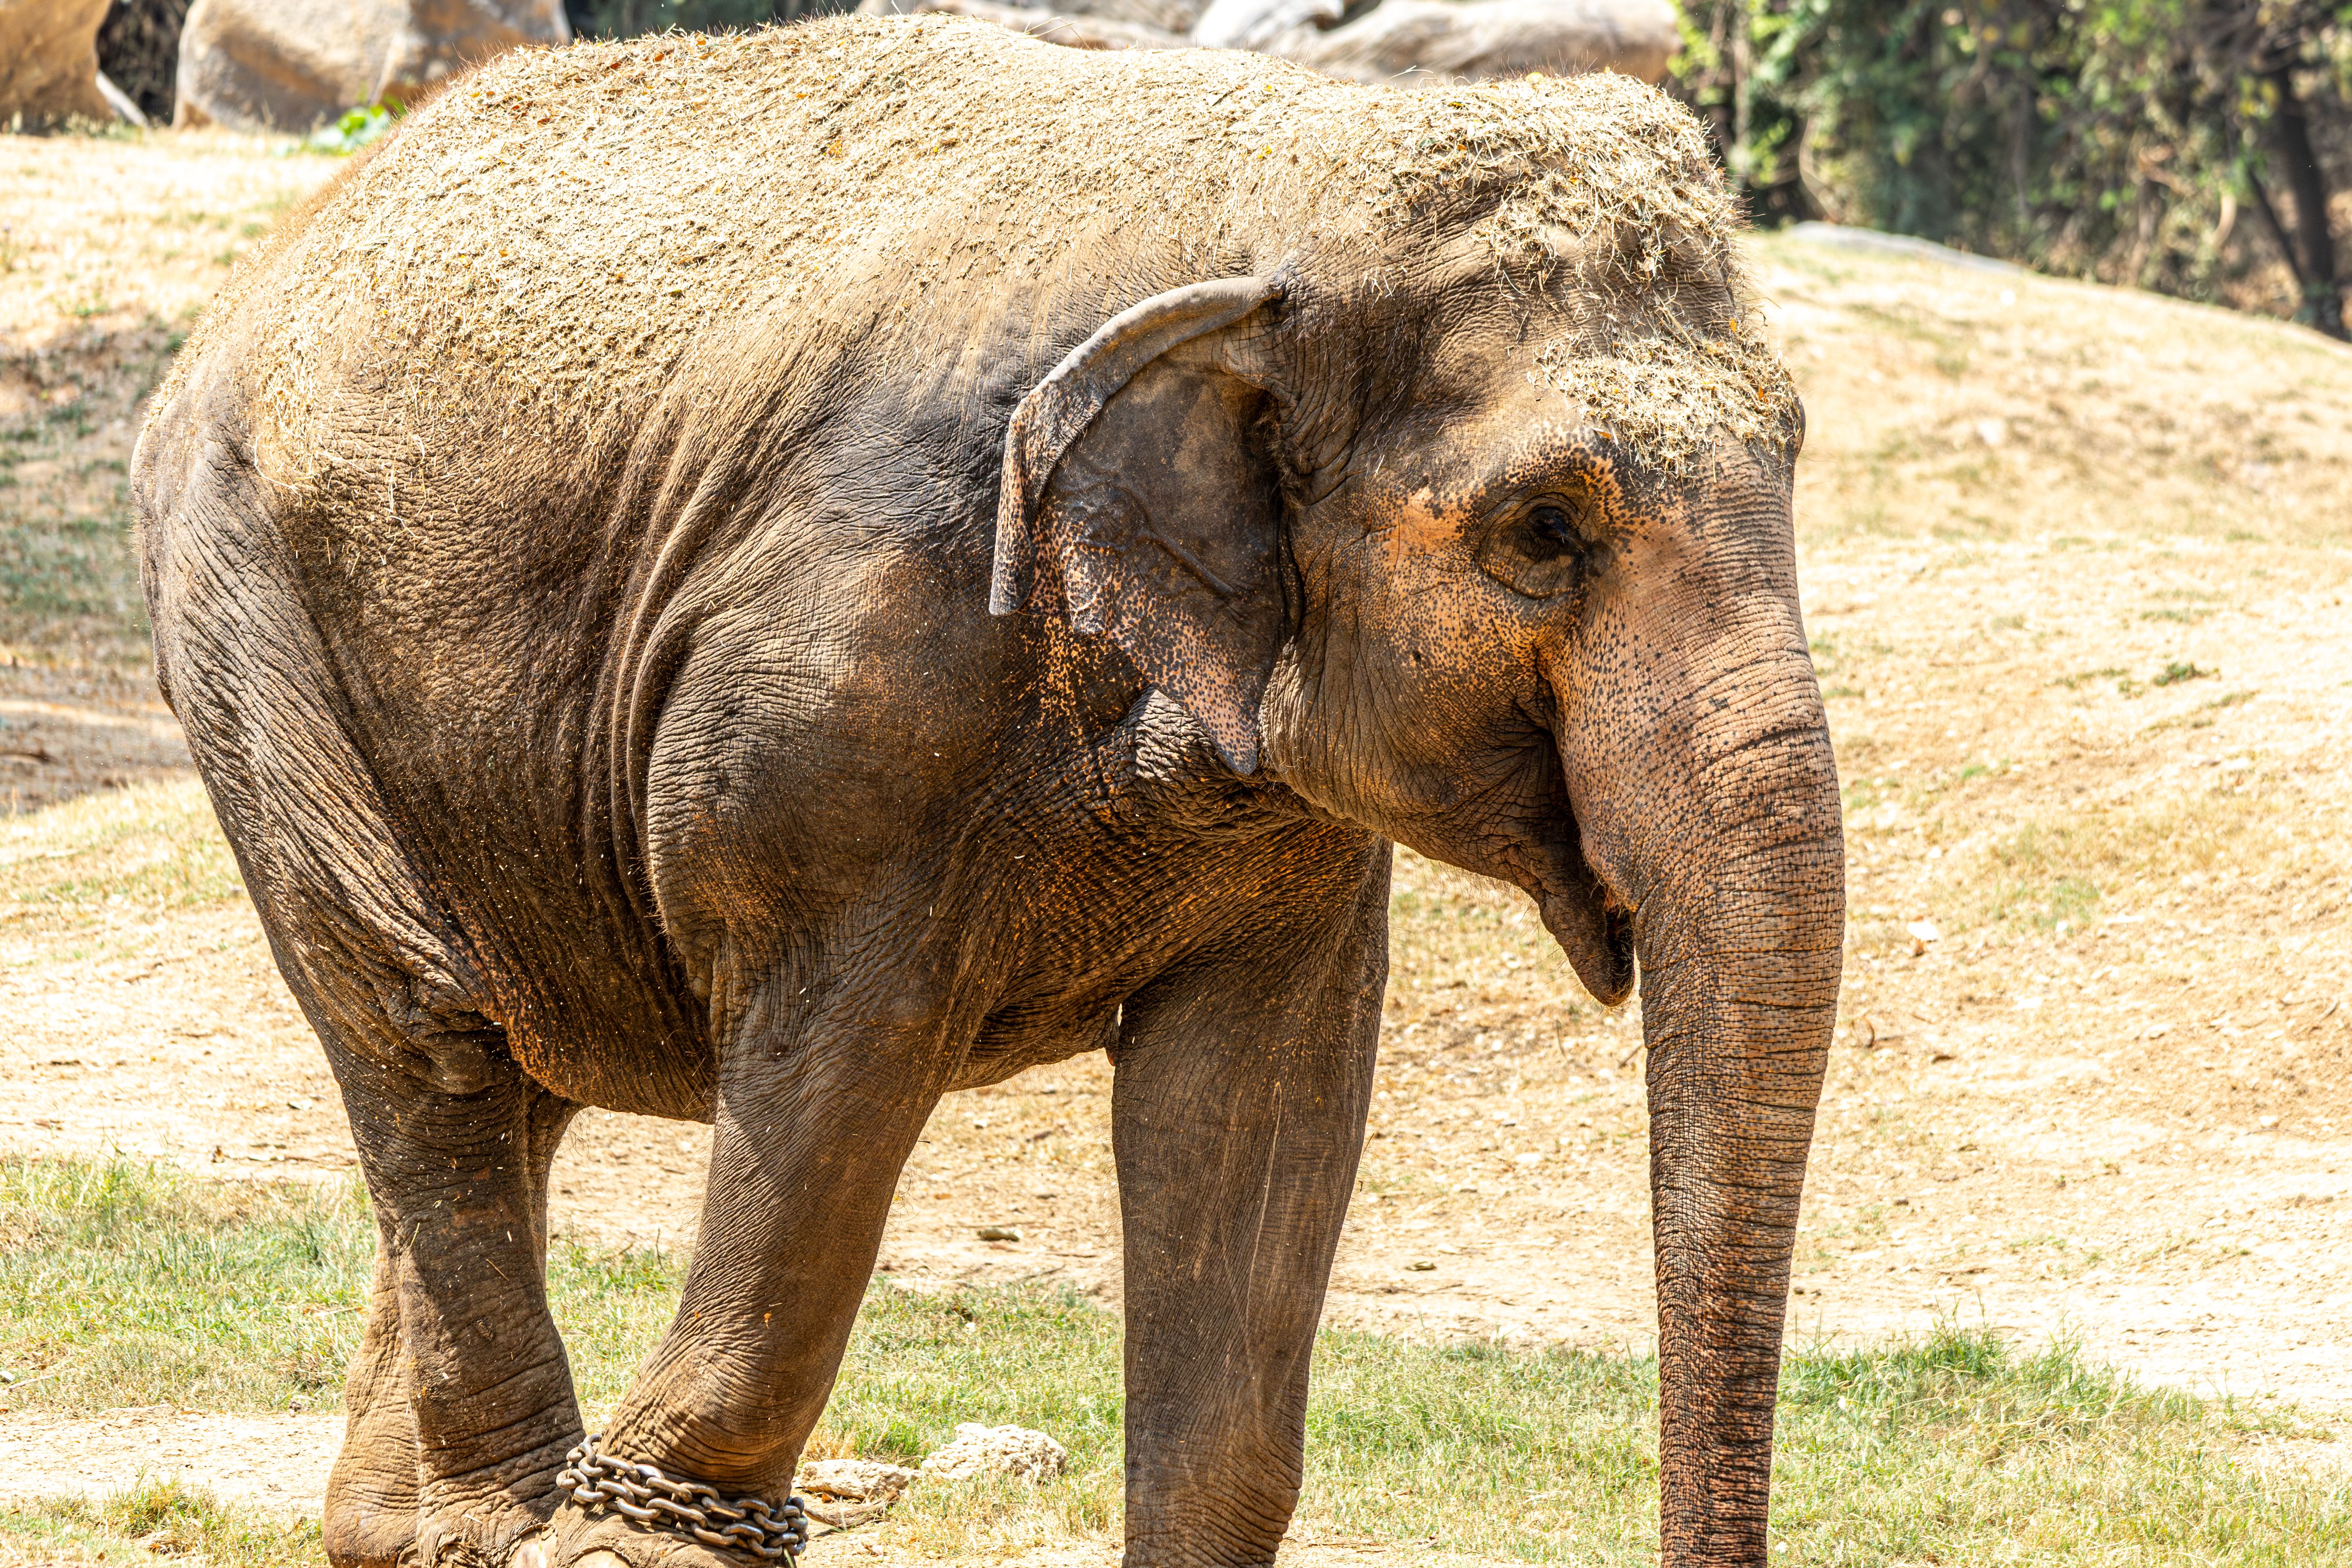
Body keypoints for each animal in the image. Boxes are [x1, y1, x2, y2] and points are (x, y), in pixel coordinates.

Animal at [133, 16, 1842, 1568]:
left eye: (1795, 454)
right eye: (1542, 530)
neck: (1285, 171)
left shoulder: (1278, 826)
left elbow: (1259, 1104)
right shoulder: (848, 682)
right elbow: (843, 1054)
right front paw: (632, 1539)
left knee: (502, 1081)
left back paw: (404, 1527)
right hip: (252, 628)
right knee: (427, 1036)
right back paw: (501, 1523)